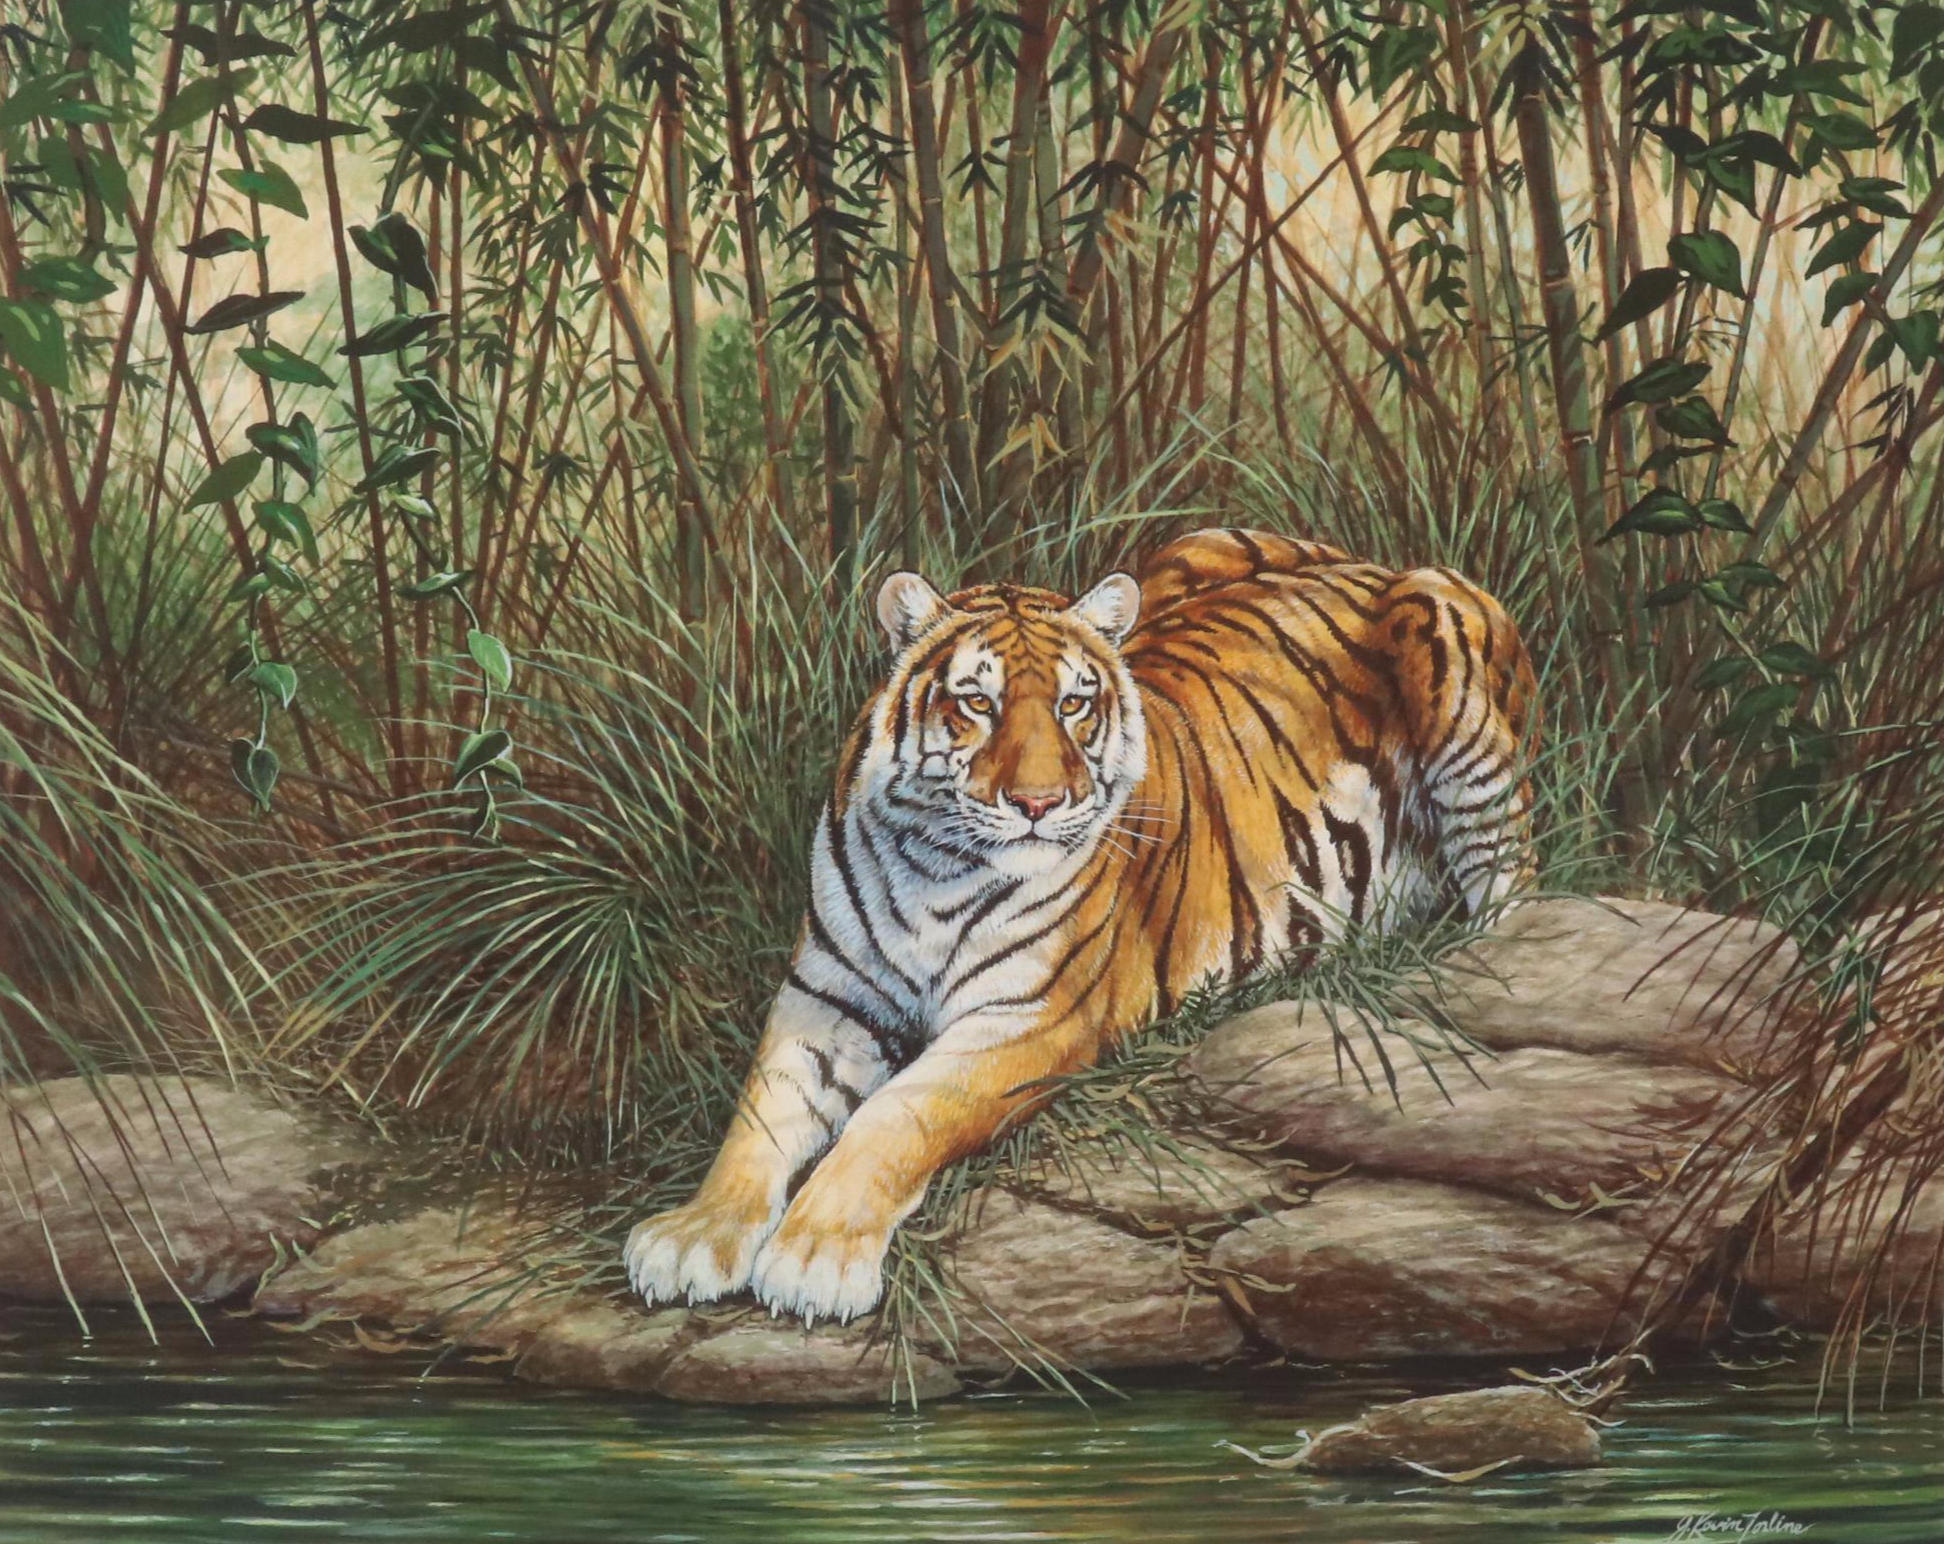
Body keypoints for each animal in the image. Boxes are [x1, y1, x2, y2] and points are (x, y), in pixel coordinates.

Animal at [625, 527, 1538, 1323]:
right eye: (976, 703)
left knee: (1511, 893)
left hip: (1444, 645)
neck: (934, 861)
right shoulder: (826, 1000)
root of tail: (1363, 560)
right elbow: (758, 1118)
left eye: (1072, 705)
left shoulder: (1028, 1019)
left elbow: (894, 1117)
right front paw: (693, 1237)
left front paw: (813, 1259)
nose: (1038, 804)